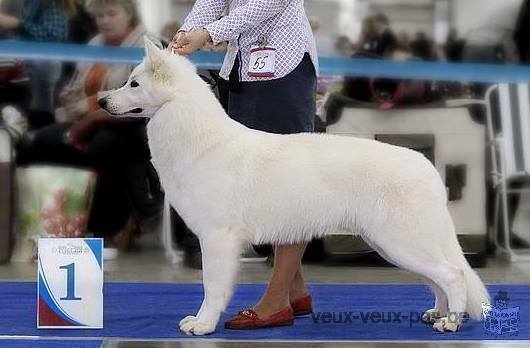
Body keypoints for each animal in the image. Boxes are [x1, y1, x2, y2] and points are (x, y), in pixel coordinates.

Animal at [98, 39, 486, 336]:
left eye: (133, 84)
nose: (101, 101)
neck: (195, 135)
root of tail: (426, 167)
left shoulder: (217, 239)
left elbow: (212, 287)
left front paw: (203, 325)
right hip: (394, 245)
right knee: (438, 278)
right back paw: (438, 313)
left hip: (401, 242)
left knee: (451, 275)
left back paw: (450, 322)